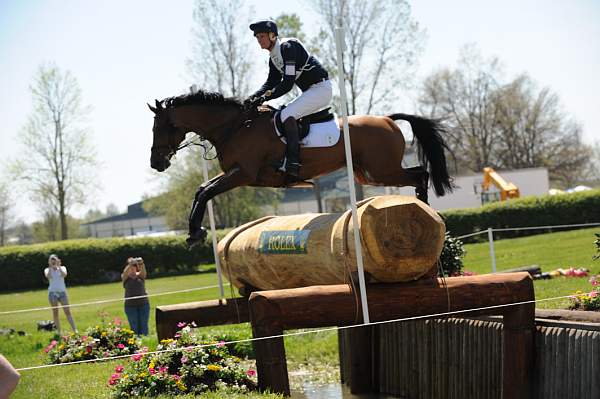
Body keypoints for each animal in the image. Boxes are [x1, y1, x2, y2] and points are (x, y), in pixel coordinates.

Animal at [148, 89, 452, 248]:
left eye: (159, 128)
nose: (156, 163)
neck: (235, 127)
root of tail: (387, 119)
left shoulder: (243, 174)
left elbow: (205, 192)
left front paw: (195, 233)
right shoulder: (239, 174)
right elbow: (202, 189)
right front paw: (194, 232)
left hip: (381, 170)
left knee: (420, 173)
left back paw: (427, 210)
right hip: (368, 173)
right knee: (417, 174)